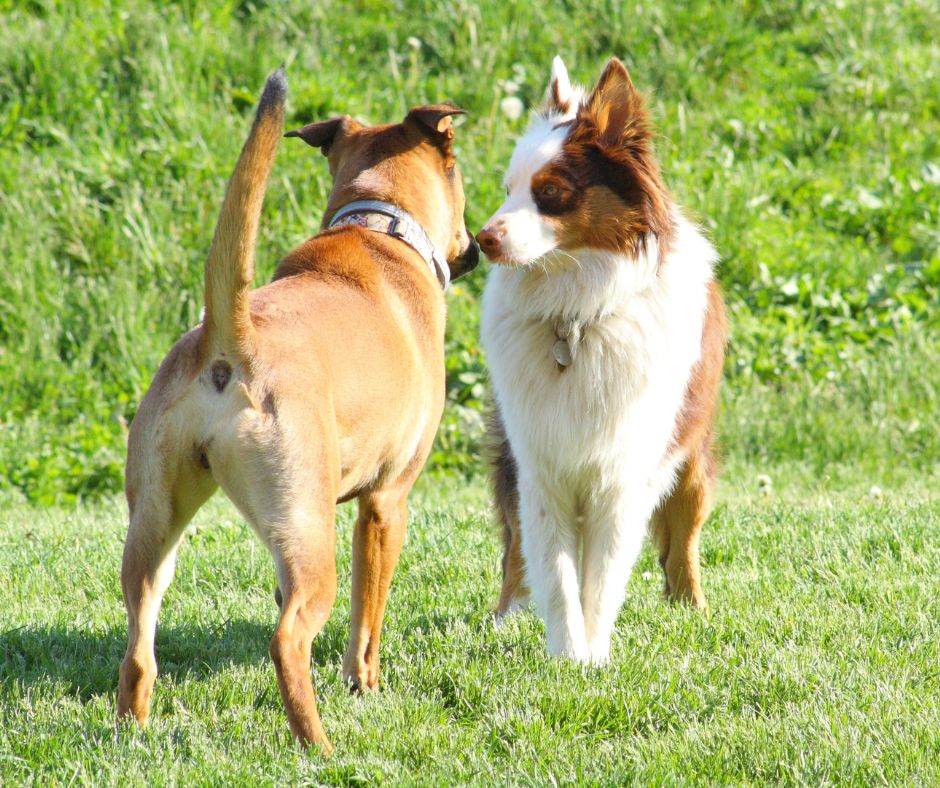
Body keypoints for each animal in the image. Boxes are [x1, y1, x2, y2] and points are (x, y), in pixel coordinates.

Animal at [118, 67, 482, 752]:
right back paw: (318, 747)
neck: (377, 226)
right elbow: (367, 620)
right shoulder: (384, 504)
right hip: (312, 538)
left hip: (161, 521)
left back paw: (133, 729)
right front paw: (364, 687)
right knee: (288, 638)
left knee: (139, 643)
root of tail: (230, 340)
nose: (476, 249)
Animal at [478, 58, 728, 664]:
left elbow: (601, 576)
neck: (576, 313)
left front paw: (591, 659)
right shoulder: (539, 463)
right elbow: (555, 571)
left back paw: (692, 609)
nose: (480, 240)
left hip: (691, 455)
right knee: (514, 549)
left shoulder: (621, 472)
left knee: (683, 539)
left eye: (550, 192)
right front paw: (569, 657)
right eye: (507, 190)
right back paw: (505, 615)